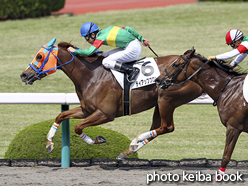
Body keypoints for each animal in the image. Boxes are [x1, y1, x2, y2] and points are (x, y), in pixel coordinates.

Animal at [20, 38, 203, 159]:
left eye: (39, 56)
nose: (24, 75)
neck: (91, 75)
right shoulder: (87, 110)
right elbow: (61, 115)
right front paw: (49, 143)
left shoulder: (105, 114)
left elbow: (78, 127)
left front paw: (97, 140)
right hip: (159, 104)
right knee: (158, 128)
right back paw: (129, 150)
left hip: (167, 100)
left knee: (167, 127)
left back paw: (133, 143)